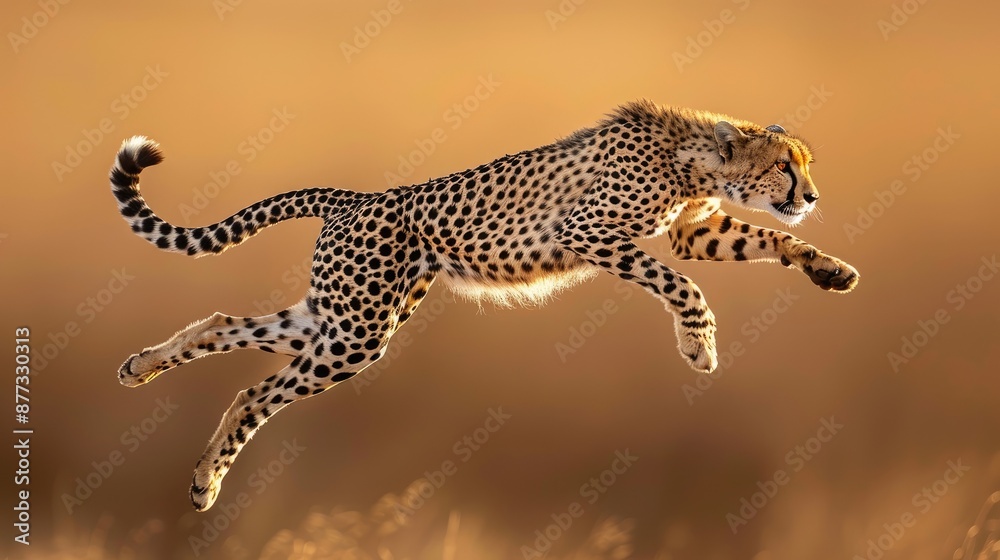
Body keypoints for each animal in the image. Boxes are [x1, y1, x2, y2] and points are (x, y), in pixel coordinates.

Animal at [109, 99, 859, 511]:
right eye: (786, 166)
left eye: (806, 165)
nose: (814, 195)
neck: (695, 159)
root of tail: (353, 197)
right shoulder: (589, 233)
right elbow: (680, 284)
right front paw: (697, 344)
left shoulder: (690, 230)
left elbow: (766, 236)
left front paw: (831, 269)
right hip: (356, 331)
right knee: (256, 390)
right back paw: (205, 481)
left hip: (341, 317)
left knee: (225, 326)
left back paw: (145, 372)